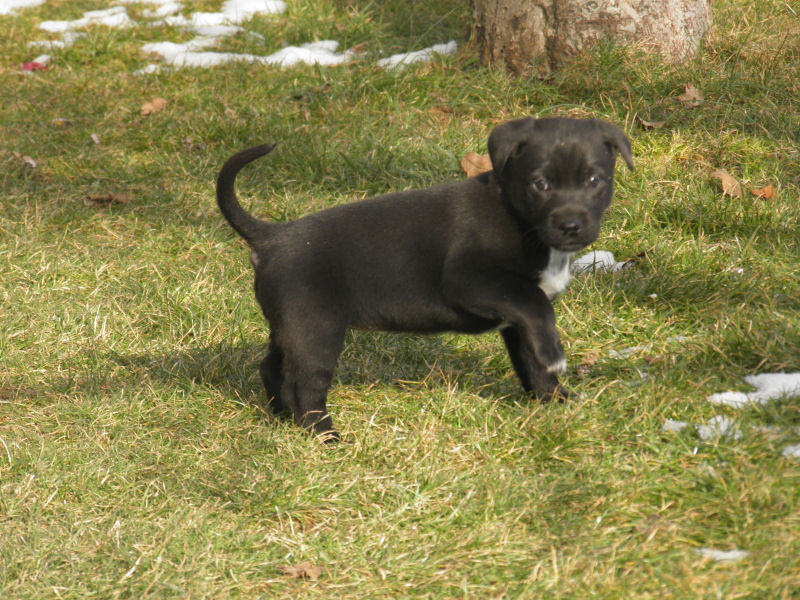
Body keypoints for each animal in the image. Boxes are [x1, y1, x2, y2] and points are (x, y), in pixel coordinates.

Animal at [217, 117, 633, 441]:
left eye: (594, 180)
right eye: (540, 184)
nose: (571, 226)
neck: (521, 220)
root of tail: (271, 237)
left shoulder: (515, 319)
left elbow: (532, 360)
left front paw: (554, 401)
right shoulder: (472, 280)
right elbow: (538, 307)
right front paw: (555, 358)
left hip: (289, 326)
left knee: (272, 369)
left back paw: (282, 420)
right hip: (316, 330)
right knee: (304, 384)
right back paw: (325, 436)